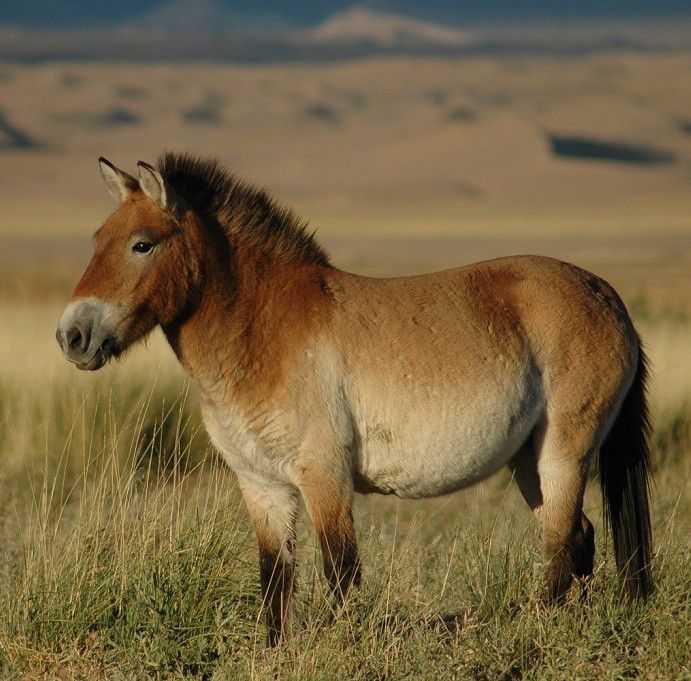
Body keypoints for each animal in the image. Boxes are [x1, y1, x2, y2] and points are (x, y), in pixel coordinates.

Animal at [56, 153, 653, 645]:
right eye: (96, 239)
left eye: (142, 243)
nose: (72, 336)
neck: (263, 331)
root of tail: (607, 295)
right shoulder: (261, 484)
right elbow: (275, 579)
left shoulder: (324, 474)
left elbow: (340, 573)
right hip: (528, 460)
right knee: (578, 537)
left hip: (563, 453)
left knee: (561, 547)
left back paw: (541, 631)